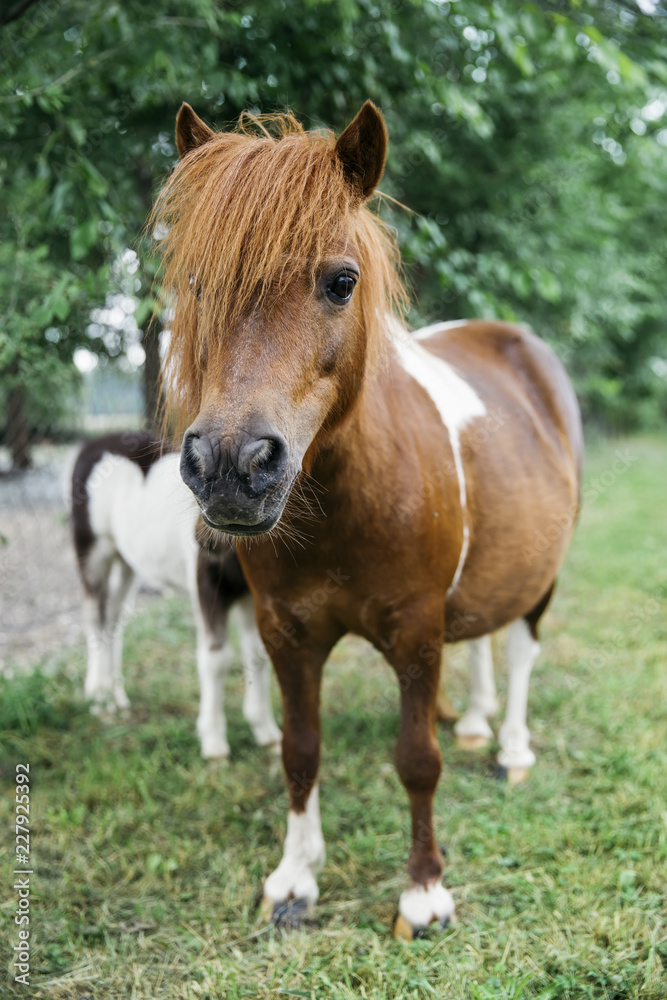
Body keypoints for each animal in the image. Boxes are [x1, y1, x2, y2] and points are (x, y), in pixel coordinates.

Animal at [71, 432, 282, 756]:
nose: (206, 540)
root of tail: (91, 445)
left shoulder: (252, 592)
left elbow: (258, 652)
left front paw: (267, 733)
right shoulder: (207, 585)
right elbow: (216, 659)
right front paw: (214, 743)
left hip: (128, 560)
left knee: (113, 618)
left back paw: (116, 697)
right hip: (93, 549)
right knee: (95, 617)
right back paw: (100, 700)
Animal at [153, 101, 584, 936]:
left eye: (341, 282)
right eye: (195, 282)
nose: (229, 466)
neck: (344, 508)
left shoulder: (415, 632)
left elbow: (416, 760)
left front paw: (422, 892)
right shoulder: (285, 633)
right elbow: (298, 751)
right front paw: (293, 878)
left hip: (543, 574)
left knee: (520, 648)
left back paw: (510, 748)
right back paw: (475, 720)